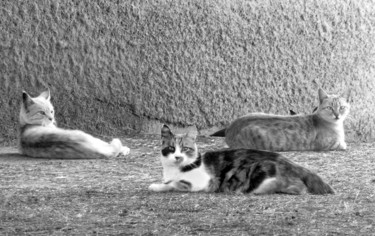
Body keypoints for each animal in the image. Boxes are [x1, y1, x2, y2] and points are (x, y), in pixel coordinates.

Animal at [148, 124, 334, 195]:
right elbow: (170, 182)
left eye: (185, 149)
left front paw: (155, 186)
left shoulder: (200, 183)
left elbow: (173, 184)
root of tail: (289, 161)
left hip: (259, 172)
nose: (178, 156)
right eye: (171, 149)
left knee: (298, 187)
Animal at [210, 88, 352, 151]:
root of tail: (230, 128)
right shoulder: (326, 144)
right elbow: (342, 144)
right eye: (329, 108)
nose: (337, 115)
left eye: (342, 107)